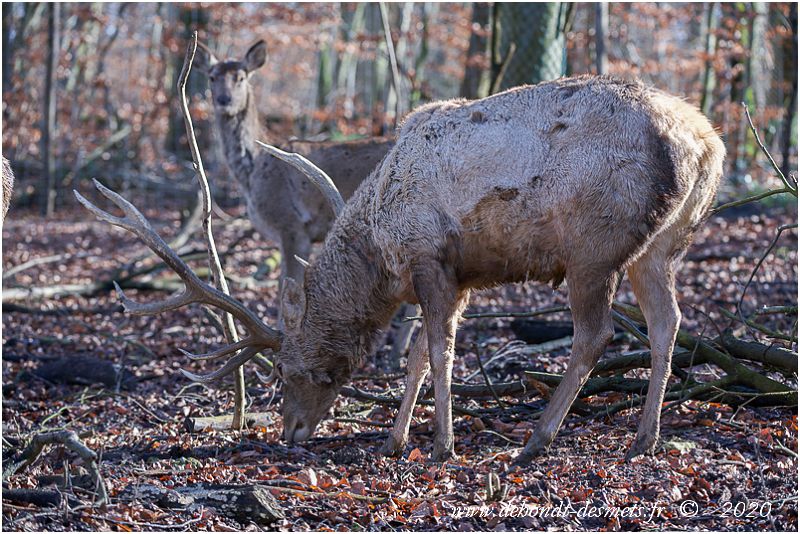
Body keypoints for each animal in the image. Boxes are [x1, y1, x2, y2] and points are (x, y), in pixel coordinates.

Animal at [79, 75, 724, 464]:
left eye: (287, 367)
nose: (289, 433)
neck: (378, 249)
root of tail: (707, 145)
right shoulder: (459, 275)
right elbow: (415, 355)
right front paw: (394, 438)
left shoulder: (428, 255)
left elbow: (438, 350)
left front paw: (441, 443)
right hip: (661, 247)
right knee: (668, 322)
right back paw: (645, 437)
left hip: (595, 243)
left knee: (596, 333)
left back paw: (538, 438)